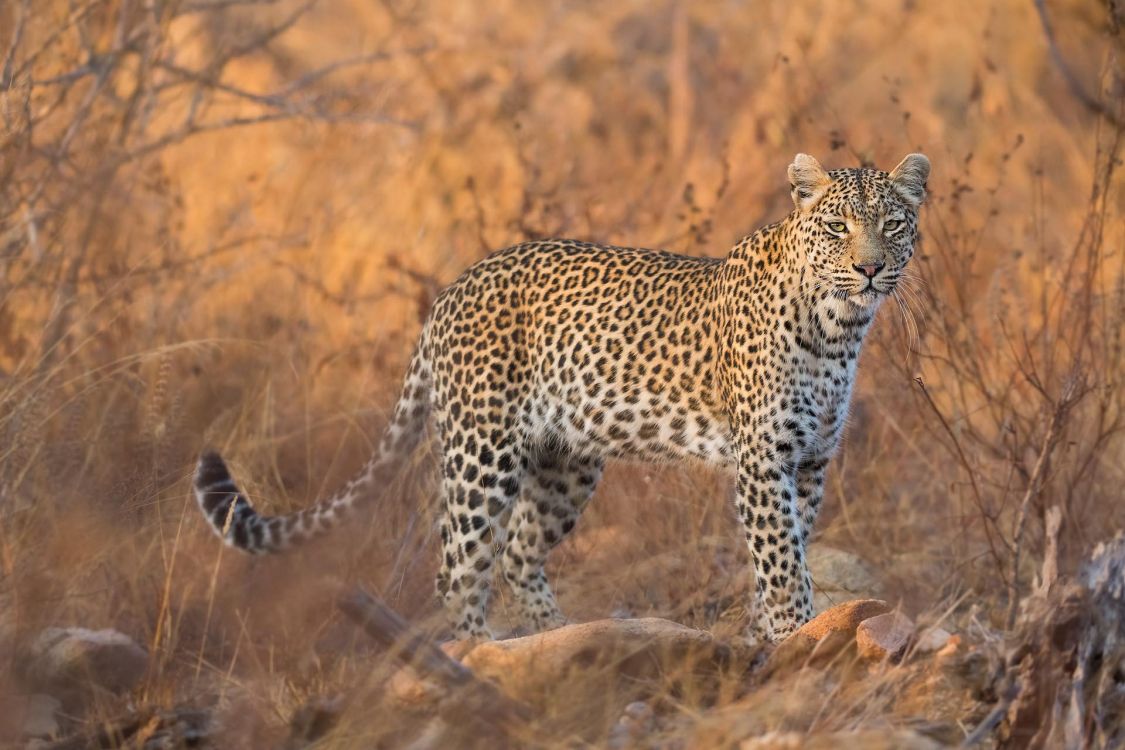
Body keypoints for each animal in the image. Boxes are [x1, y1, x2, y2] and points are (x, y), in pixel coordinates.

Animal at [193, 154, 931, 647]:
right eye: (837, 228)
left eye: (894, 224)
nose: (869, 267)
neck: (837, 331)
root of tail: (452, 289)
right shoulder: (764, 460)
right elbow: (779, 561)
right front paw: (795, 634)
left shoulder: (810, 463)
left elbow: (792, 549)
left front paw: (771, 635)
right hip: (481, 452)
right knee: (458, 567)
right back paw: (478, 657)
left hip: (565, 463)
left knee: (519, 552)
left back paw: (561, 636)